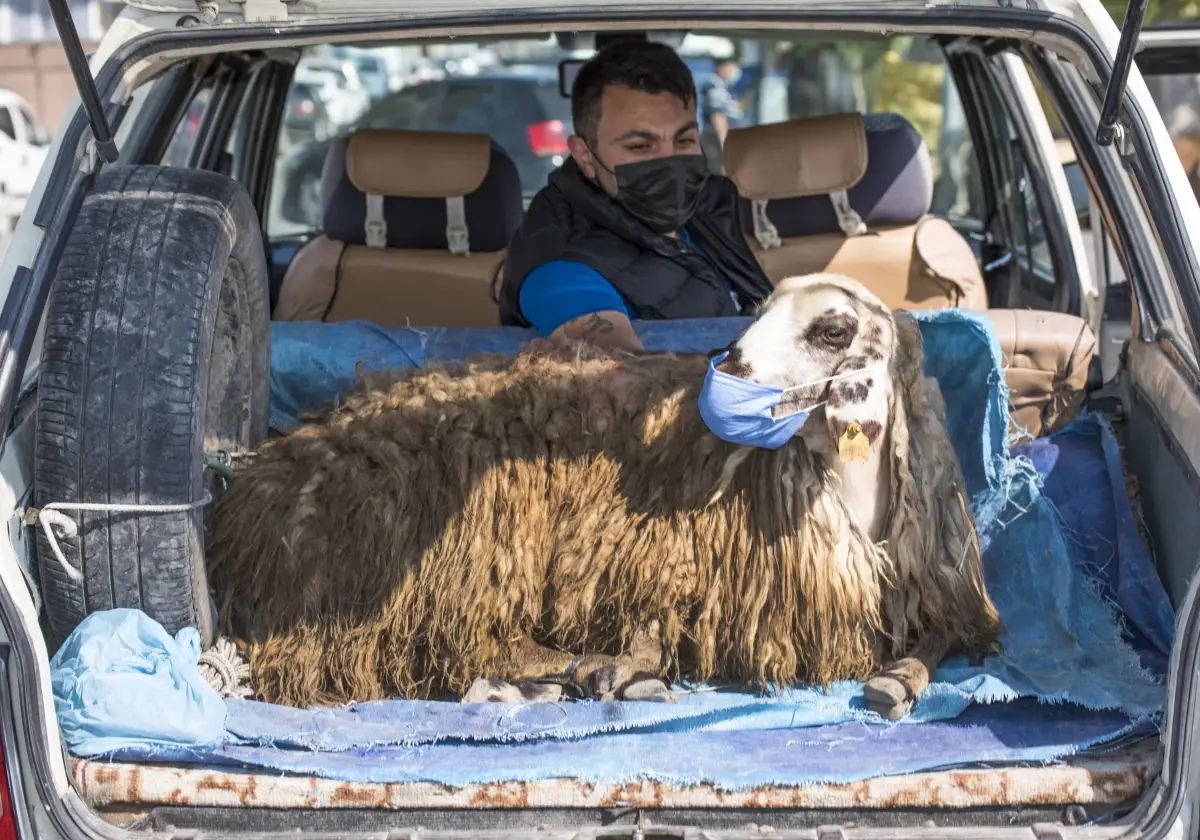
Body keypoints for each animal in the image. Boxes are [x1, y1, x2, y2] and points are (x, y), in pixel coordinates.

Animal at [208, 272, 1003, 720]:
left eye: (832, 328)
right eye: (758, 307)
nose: (727, 363)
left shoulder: (938, 596)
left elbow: (939, 642)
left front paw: (897, 681)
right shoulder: (651, 561)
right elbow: (647, 624)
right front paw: (625, 669)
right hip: (464, 553)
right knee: (462, 641)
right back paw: (582, 676)